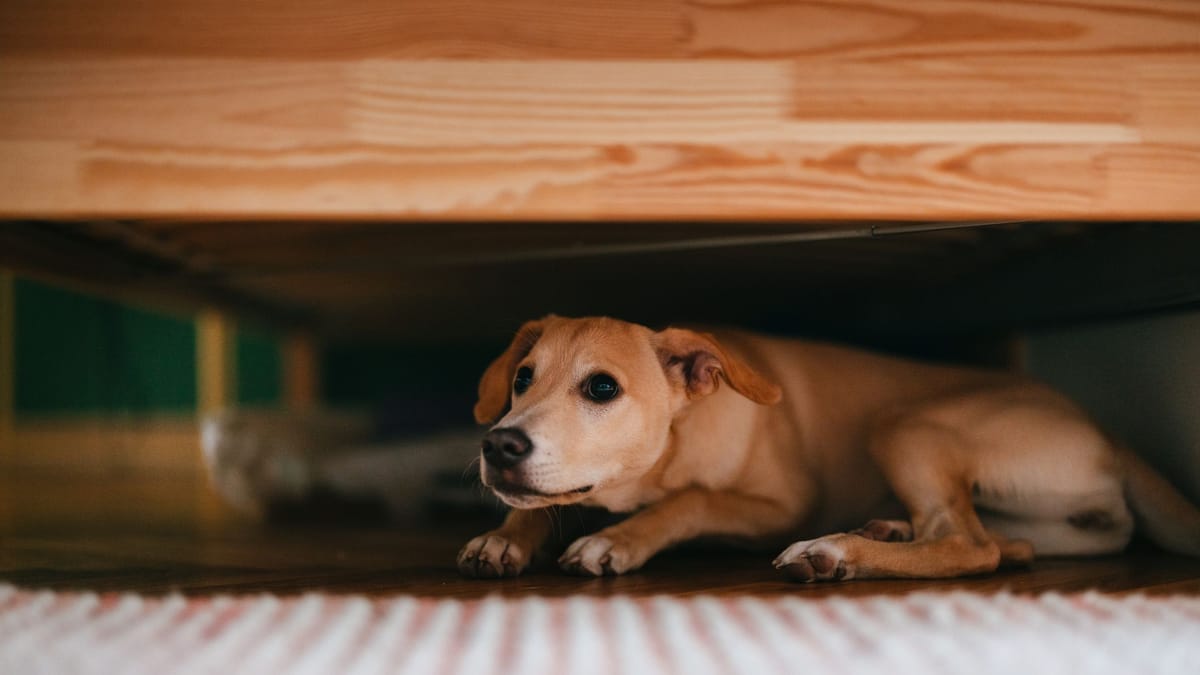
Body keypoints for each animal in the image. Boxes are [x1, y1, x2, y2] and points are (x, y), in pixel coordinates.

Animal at [453, 314, 1195, 578]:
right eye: (522, 378)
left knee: (969, 545)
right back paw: (884, 528)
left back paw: (836, 551)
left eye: (602, 387)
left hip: (905, 423)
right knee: (1001, 541)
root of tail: (1109, 436)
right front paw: (506, 537)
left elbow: (692, 501)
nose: (499, 445)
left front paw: (618, 539)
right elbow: (541, 503)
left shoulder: (780, 505)